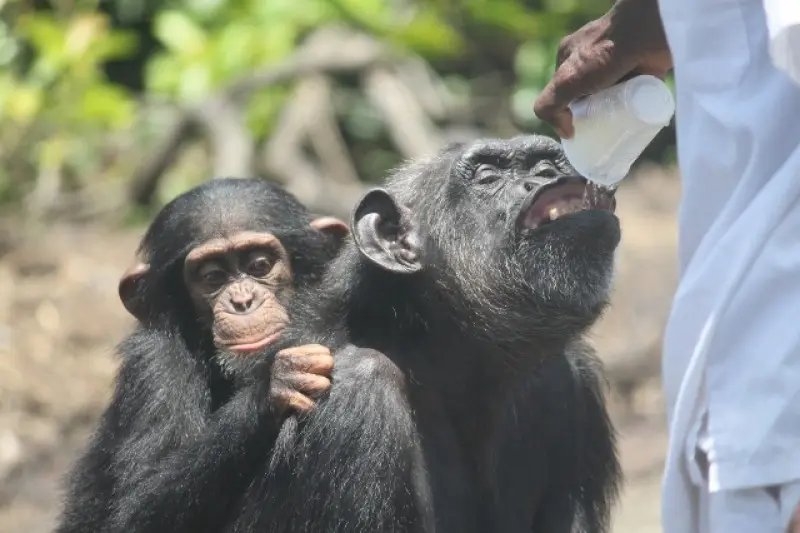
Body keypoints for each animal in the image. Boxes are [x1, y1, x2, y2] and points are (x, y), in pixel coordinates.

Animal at [52, 177, 346, 532]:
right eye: (212, 277)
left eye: (260, 265)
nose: (242, 301)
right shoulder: (153, 365)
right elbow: (134, 510)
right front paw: (275, 384)